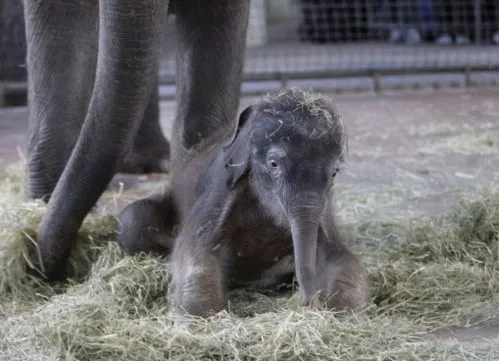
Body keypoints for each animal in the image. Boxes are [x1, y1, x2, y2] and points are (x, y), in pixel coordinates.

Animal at [116, 88, 368, 318]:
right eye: (273, 164)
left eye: (334, 173)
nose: (309, 303)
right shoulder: (221, 182)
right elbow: (194, 248)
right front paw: (198, 320)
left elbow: (340, 255)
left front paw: (344, 313)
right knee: (133, 221)